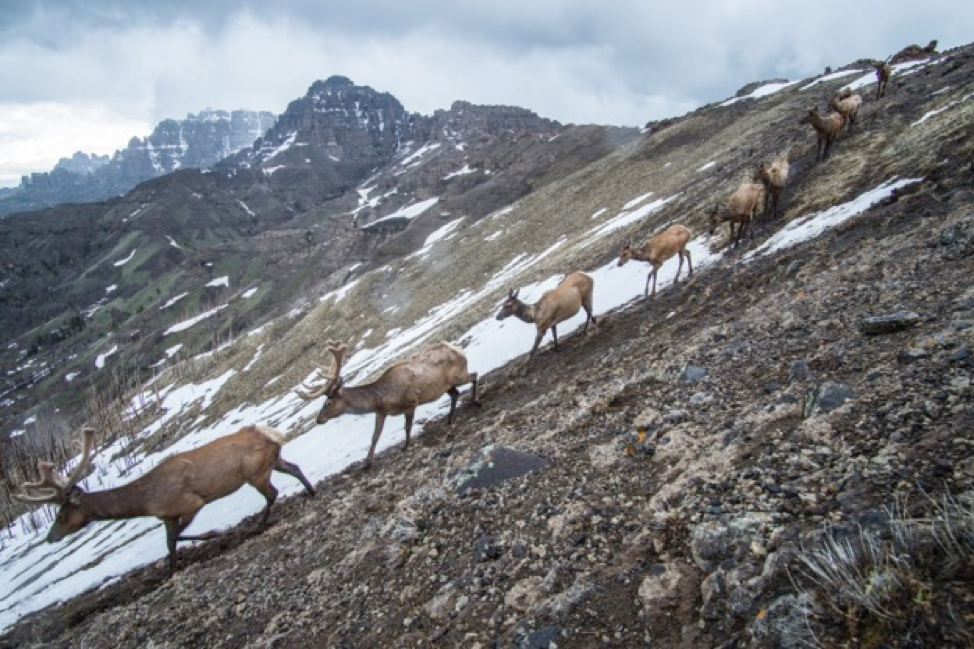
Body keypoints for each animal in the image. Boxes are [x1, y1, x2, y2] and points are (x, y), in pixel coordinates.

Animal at [13, 426, 316, 573]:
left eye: (61, 515)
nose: (50, 537)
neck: (146, 502)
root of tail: (270, 434)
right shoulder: (166, 515)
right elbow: (170, 541)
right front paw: (171, 569)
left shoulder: (189, 503)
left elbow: (175, 537)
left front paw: (215, 533)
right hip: (272, 461)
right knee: (294, 467)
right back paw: (311, 492)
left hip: (255, 473)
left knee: (273, 493)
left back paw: (260, 526)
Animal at [296, 340, 479, 468]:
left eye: (328, 402)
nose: (319, 420)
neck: (383, 399)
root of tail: (457, 349)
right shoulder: (380, 412)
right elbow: (375, 436)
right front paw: (367, 462)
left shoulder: (411, 402)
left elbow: (407, 427)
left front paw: (406, 445)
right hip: (445, 386)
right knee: (456, 393)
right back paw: (449, 419)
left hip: (458, 375)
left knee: (474, 375)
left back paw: (474, 401)